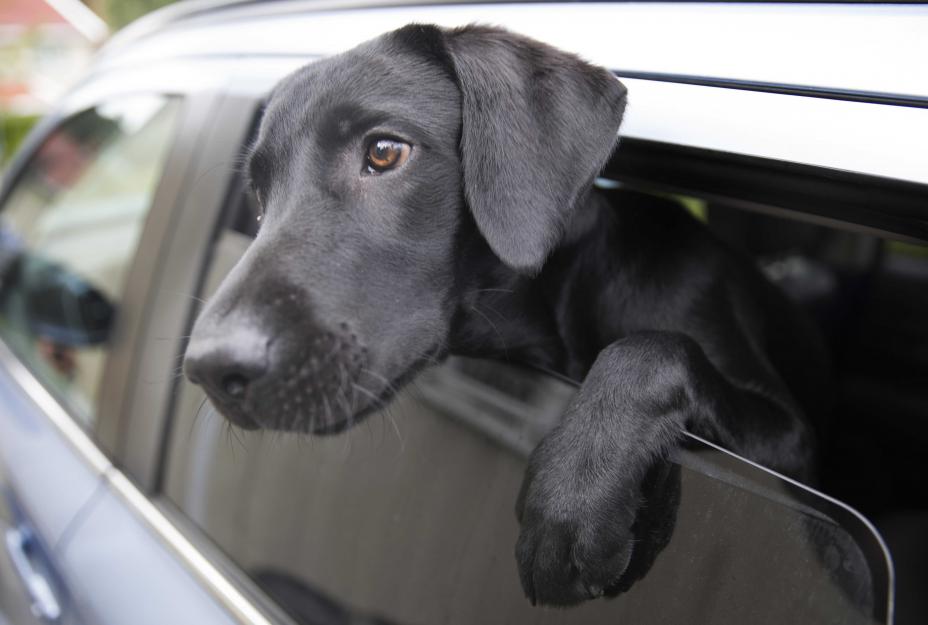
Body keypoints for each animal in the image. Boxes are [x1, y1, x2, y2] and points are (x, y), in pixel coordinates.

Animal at [184, 24, 829, 607]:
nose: (210, 369)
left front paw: (574, 493)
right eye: (259, 194)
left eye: (385, 151)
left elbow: (651, 348)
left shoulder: (792, 447)